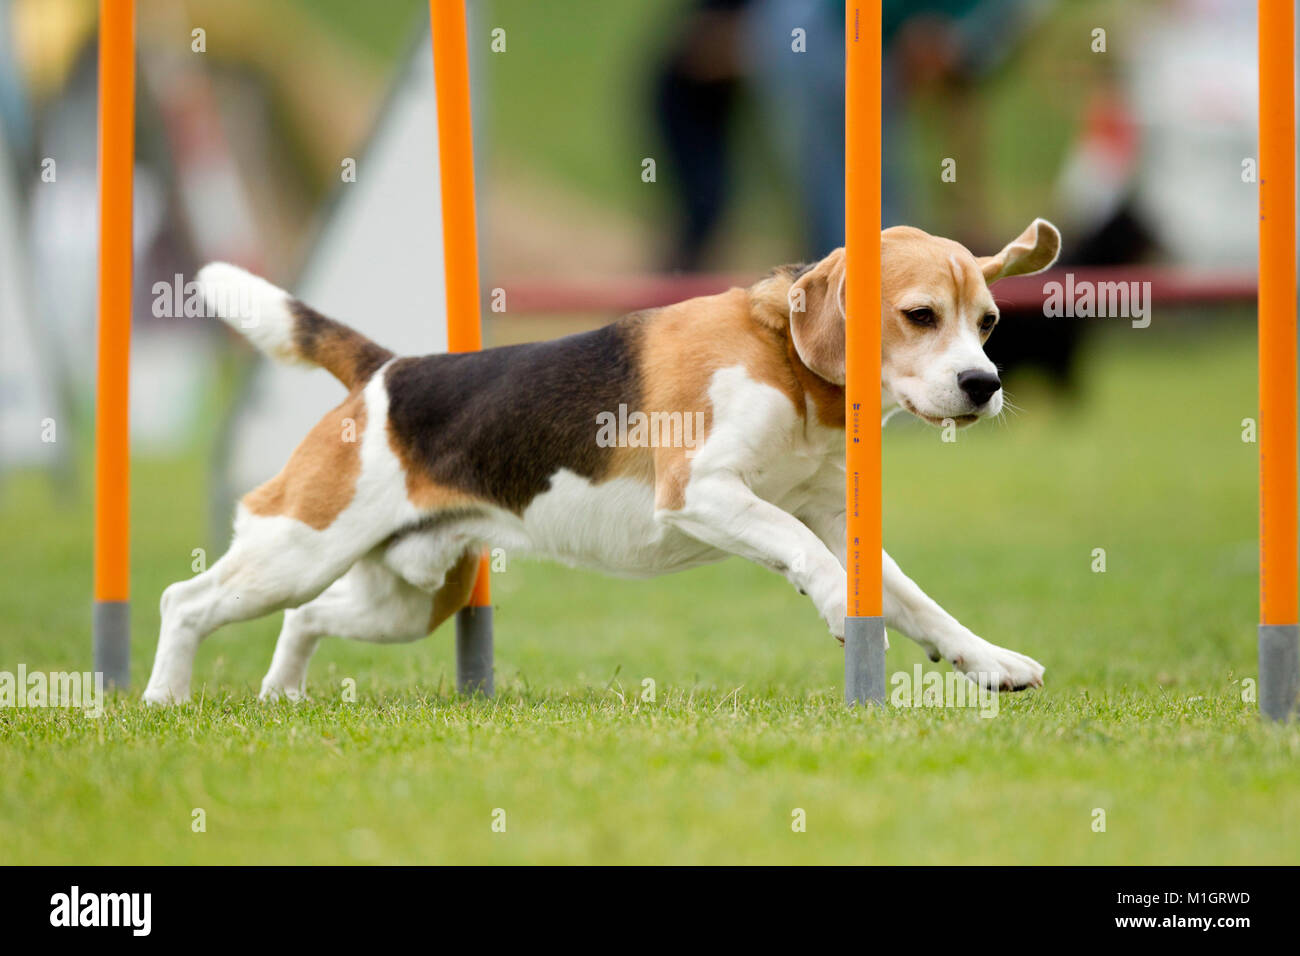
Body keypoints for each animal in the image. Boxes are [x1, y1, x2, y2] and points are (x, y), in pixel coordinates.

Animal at [144, 221, 1055, 707]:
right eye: (919, 315)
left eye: (987, 323)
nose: (985, 385)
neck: (785, 360)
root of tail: (388, 373)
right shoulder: (702, 492)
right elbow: (800, 553)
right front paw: (836, 604)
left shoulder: (833, 515)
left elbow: (919, 603)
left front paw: (988, 661)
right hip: (297, 546)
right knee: (186, 601)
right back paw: (162, 700)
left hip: (408, 597)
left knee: (306, 617)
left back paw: (282, 695)